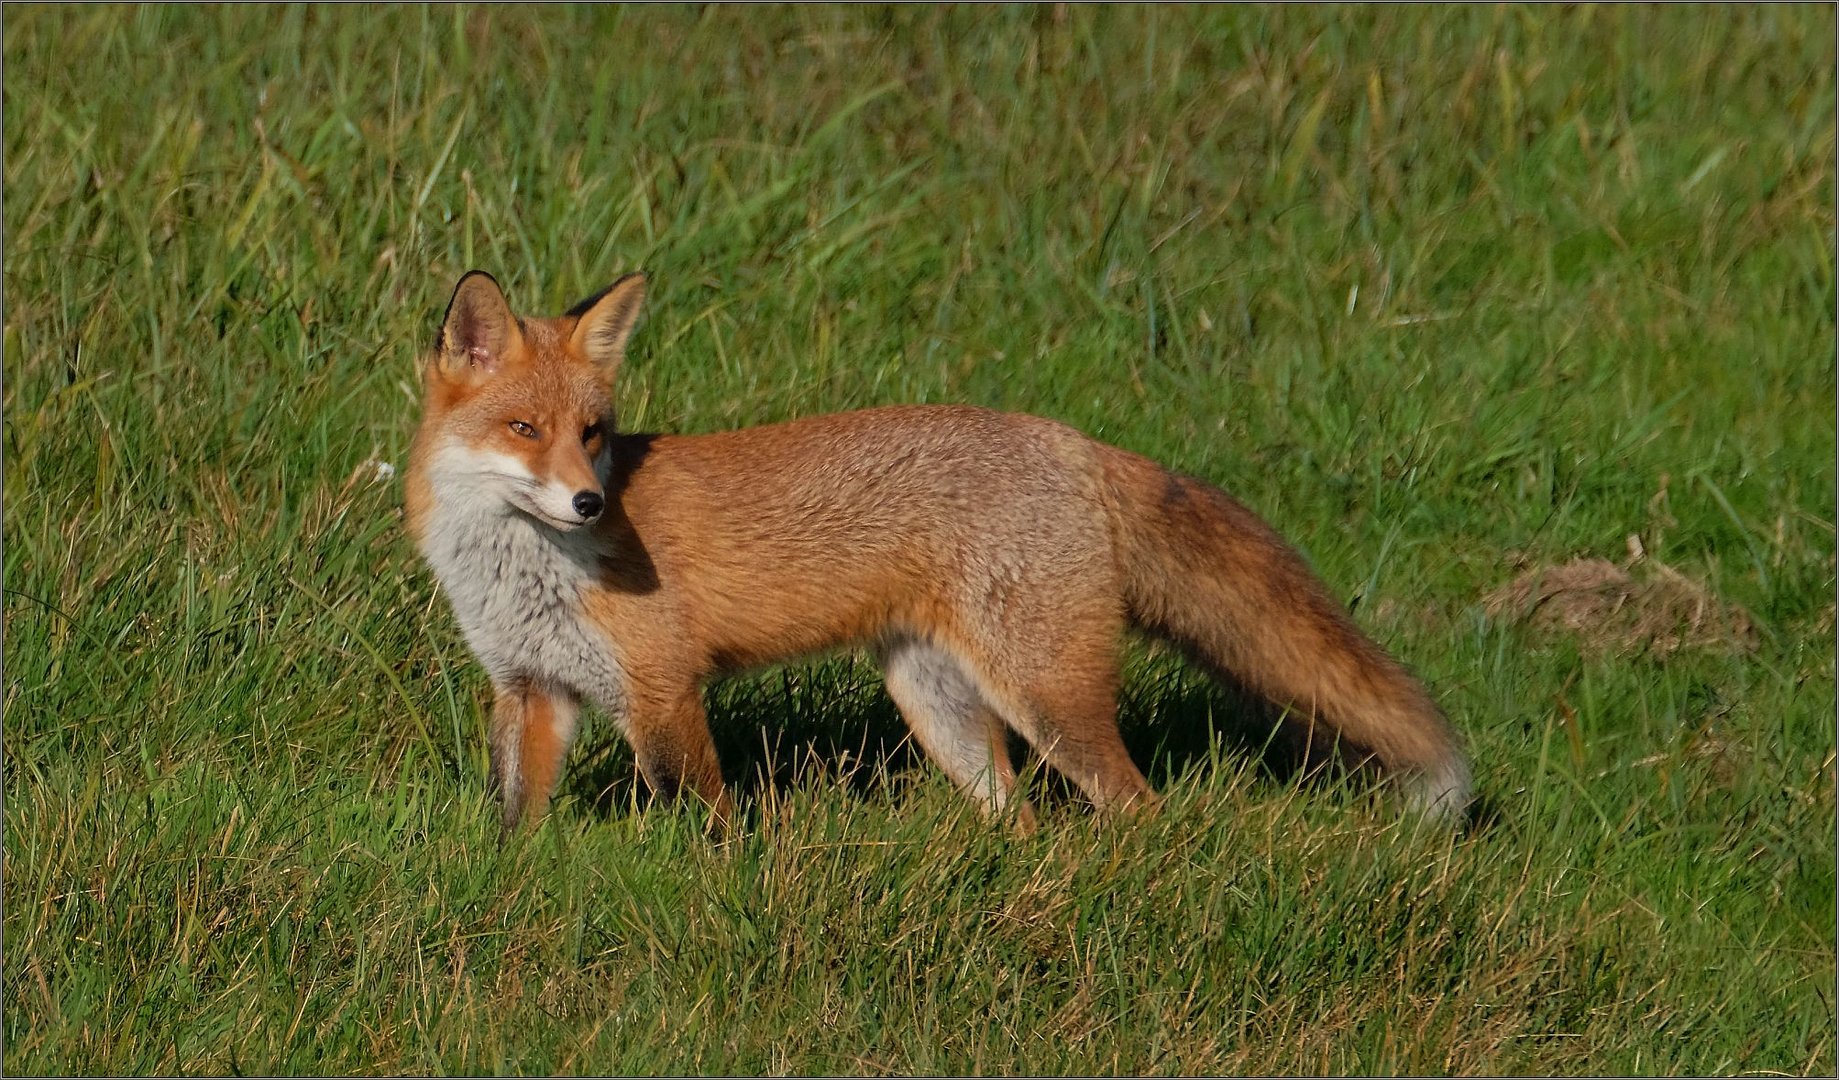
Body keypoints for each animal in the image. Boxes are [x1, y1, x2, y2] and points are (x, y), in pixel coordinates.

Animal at [402, 274, 1463, 831]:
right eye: (525, 429)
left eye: (594, 433)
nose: (588, 502)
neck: (520, 574)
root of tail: (1065, 438)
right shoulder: (533, 690)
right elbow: (515, 821)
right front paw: (517, 881)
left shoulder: (661, 690)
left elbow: (709, 822)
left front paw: (718, 884)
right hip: (939, 705)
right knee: (1020, 815)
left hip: (1047, 699)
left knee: (1137, 804)